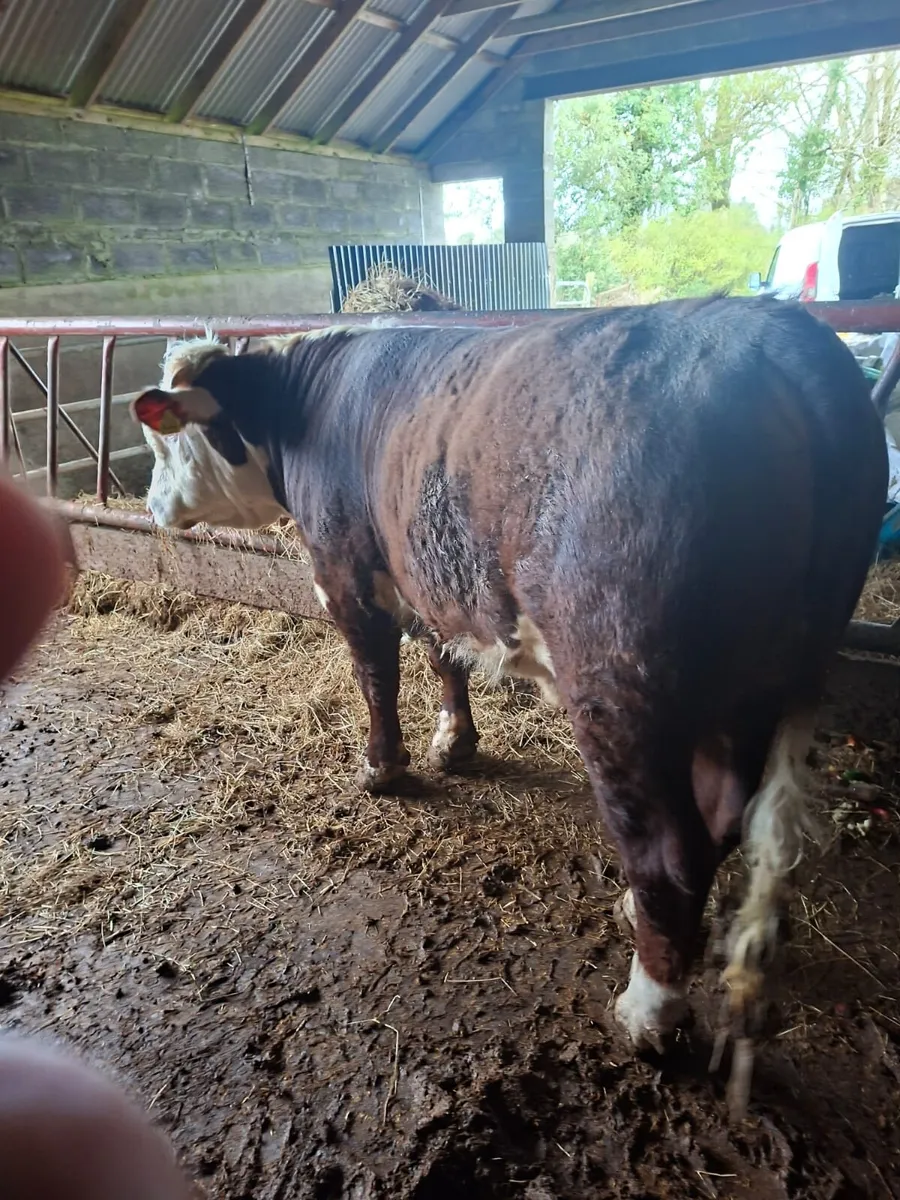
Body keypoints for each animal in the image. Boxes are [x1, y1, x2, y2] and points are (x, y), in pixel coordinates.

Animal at [132, 297, 887, 1109]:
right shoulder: (427, 568)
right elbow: (444, 654)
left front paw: (381, 768)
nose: (150, 503)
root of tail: (779, 333)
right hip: (750, 694)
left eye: (163, 437)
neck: (304, 408)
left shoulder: (343, 566)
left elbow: (375, 675)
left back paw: (648, 1010)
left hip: (620, 687)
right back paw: (644, 919)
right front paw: (454, 743)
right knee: (720, 817)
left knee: (669, 848)